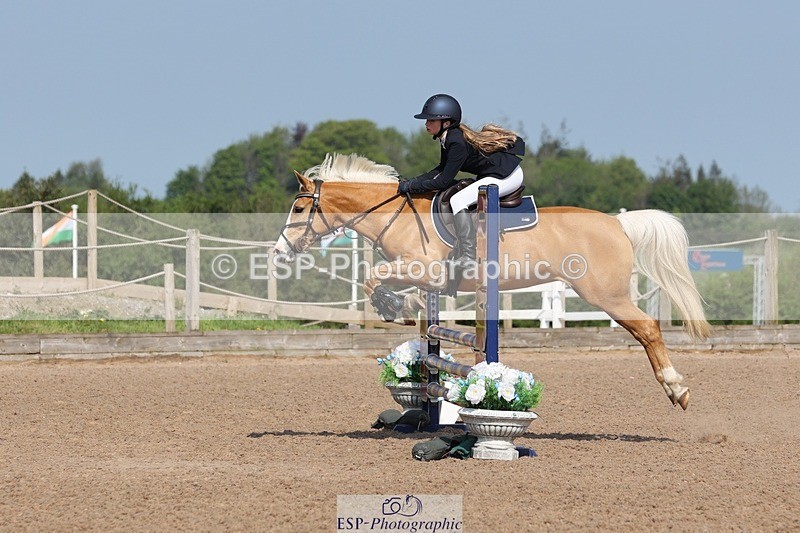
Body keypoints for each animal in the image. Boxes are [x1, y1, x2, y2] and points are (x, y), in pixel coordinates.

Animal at [274, 153, 710, 410]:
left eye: (299, 208)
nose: (279, 252)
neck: (395, 214)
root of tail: (618, 223)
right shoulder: (421, 276)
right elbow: (391, 287)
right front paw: (405, 305)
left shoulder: (424, 269)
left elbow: (371, 278)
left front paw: (394, 306)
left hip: (606, 294)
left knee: (648, 329)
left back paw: (677, 389)